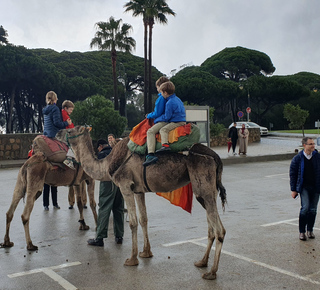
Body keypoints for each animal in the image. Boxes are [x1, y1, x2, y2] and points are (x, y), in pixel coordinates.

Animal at [57, 125, 228, 280]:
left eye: (70, 130)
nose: (58, 132)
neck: (107, 164)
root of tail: (215, 157)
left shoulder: (125, 185)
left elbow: (133, 222)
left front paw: (132, 259)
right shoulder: (139, 190)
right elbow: (143, 219)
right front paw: (146, 252)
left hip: (203, 186)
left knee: (220, 229)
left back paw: (211, 272)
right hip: (209, 189)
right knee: (211, 226)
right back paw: (202, 262)